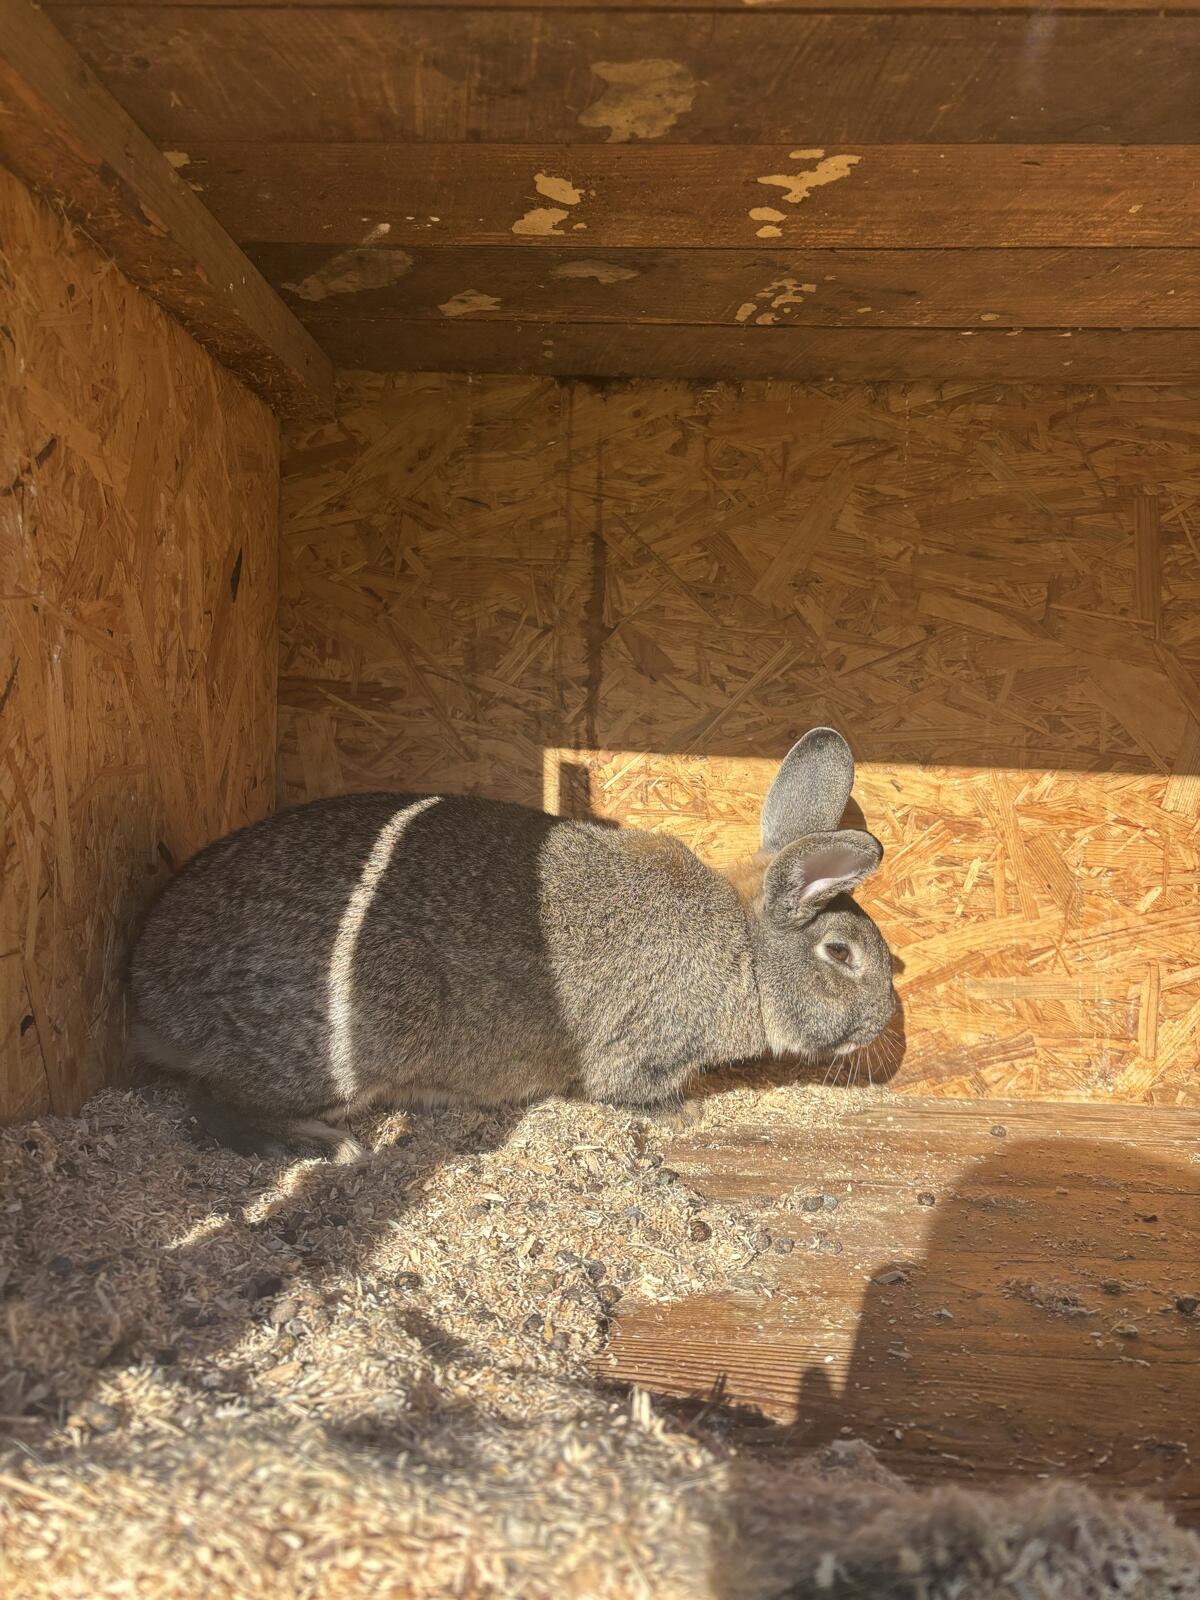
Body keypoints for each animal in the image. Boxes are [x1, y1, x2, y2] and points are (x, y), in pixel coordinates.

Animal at [129, 727, 897, 1162]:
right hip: (360, 1034)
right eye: (841, 955)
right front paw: (690, 1112)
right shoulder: (642, 1046)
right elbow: (632, 1089)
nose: (884, 1025)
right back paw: (320, 1146)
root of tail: (146, 983)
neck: (747, 952)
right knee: (210, 1104)